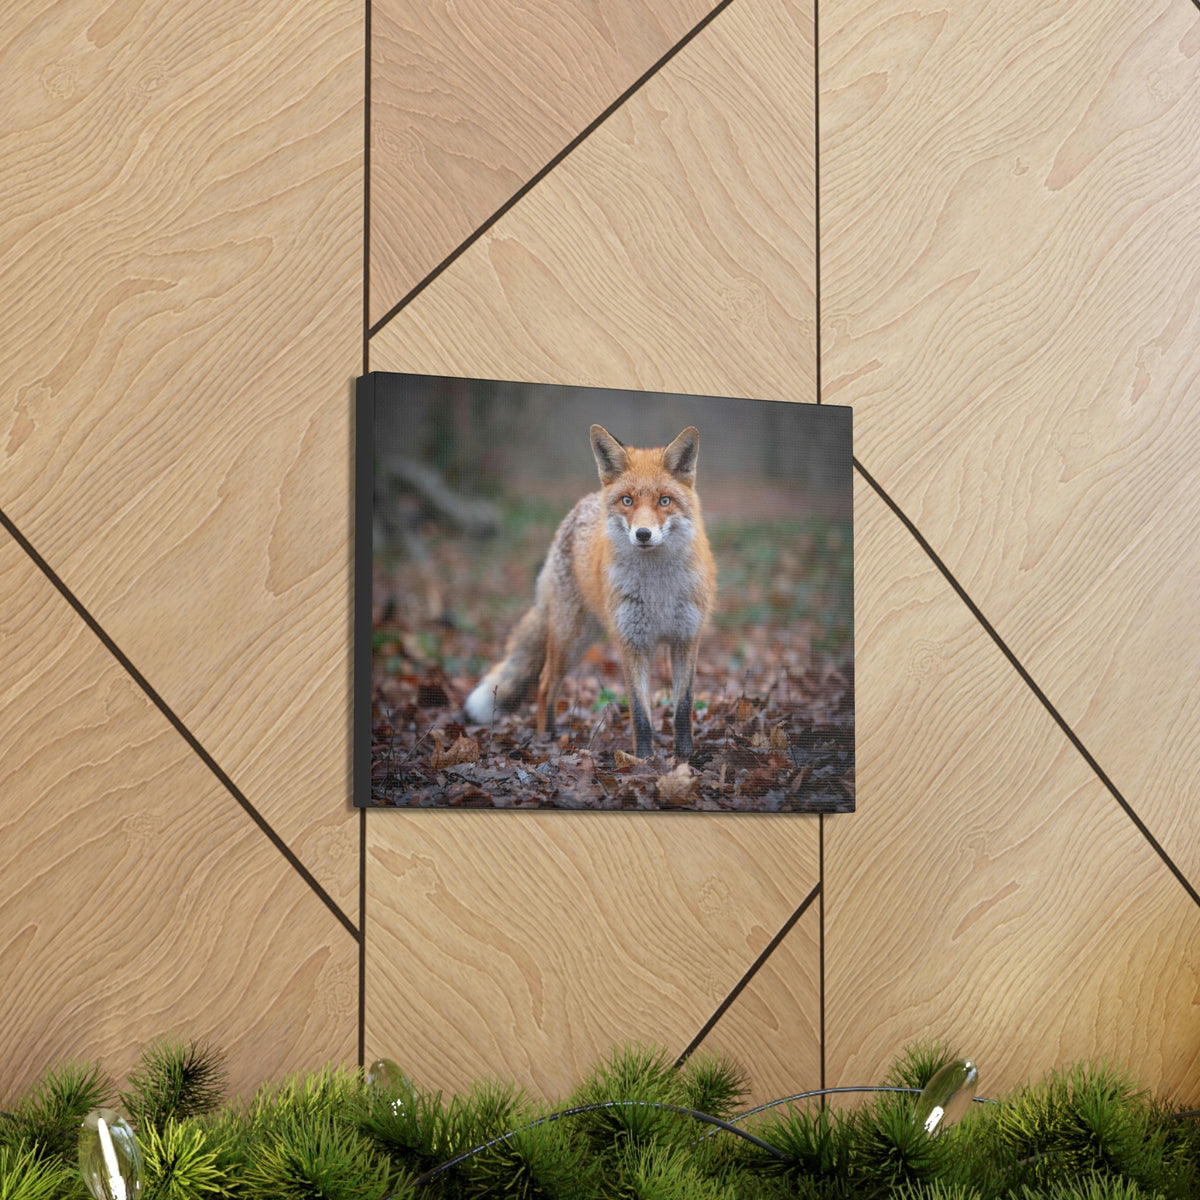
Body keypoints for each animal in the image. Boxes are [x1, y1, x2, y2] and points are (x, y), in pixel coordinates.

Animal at [464, 424, 716, 759]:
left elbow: (683, 706)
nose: (643, 534)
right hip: (570, 639)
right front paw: (644, 760)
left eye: (664, 501)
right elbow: (640, 712)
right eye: (627, 501)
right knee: (544, 684)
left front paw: (685, 756)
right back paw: (547, 739)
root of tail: (584, 502)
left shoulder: (686, 638)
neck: (658, 590)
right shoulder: (632, 642)